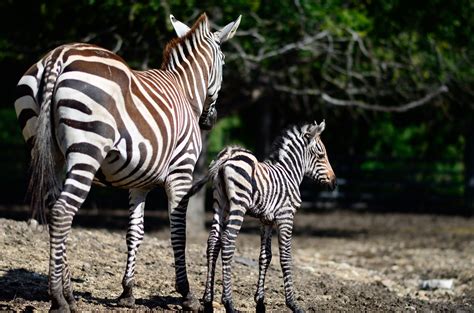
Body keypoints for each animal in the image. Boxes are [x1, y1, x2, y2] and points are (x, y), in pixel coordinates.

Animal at [14, 12, 241, 312]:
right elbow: (178, 231)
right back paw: (59, 299)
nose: (209, 121)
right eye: (224, 61)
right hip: (87, 149)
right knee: (62, 211)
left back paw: (70, 293)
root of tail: (57, 56)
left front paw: (127, 292)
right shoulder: (181, 173)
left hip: (50, 152)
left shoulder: (139, 182)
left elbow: (135, 232)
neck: (185, 89)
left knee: (54, 209)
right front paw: (187, 294)